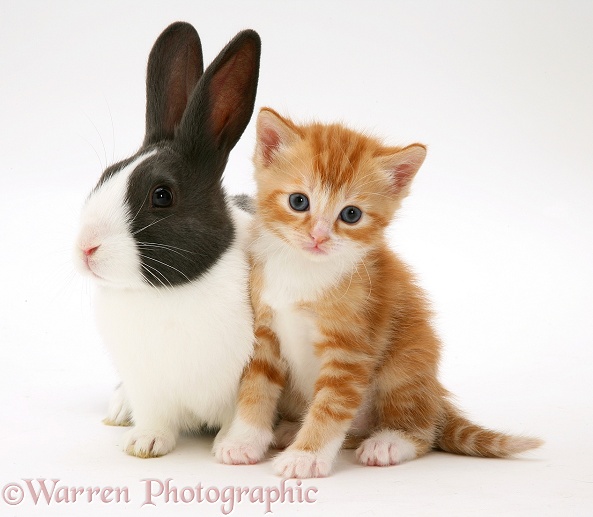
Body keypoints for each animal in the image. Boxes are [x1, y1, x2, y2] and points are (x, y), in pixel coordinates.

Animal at [73, 21, 260, 456]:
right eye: (107, 174)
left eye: (162, 196)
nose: (86, 247)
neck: (167, 293)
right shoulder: (148, 386)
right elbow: (155, 416)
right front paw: (144, 444)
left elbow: (242, 414)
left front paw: (229, 446)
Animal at [214, 107, 540, 478]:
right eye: (299, 201)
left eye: (351, 214)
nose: (318, 237)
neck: (305, 271)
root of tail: (436, 396)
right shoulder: (265, 332)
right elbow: (255, 387)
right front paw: (244, 441)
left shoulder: (352, 349)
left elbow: (331, 406)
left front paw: (306, 456)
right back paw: (289, 430)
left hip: (408, 361)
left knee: (423, 429)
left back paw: (389, 442)